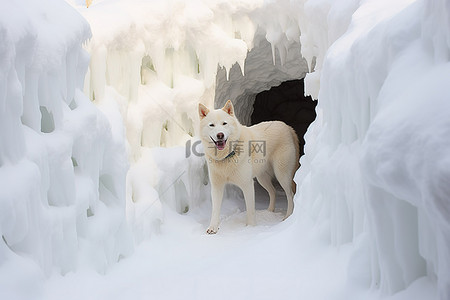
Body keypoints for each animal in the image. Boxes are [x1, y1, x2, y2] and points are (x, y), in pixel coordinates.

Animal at [198, 99, 298, 233]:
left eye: (224, 123)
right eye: (211, 125)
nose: (220, 135)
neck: (227, 156)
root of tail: (287, 127)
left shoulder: (247, 185)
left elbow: (250, 211)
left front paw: (250, 227)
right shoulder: (217, 187)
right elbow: (215, 210)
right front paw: (212, 228)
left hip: (282, 175)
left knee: (290, 194)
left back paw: (287, 216)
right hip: (262, 178)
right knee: (273, 192)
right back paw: (269, 211)